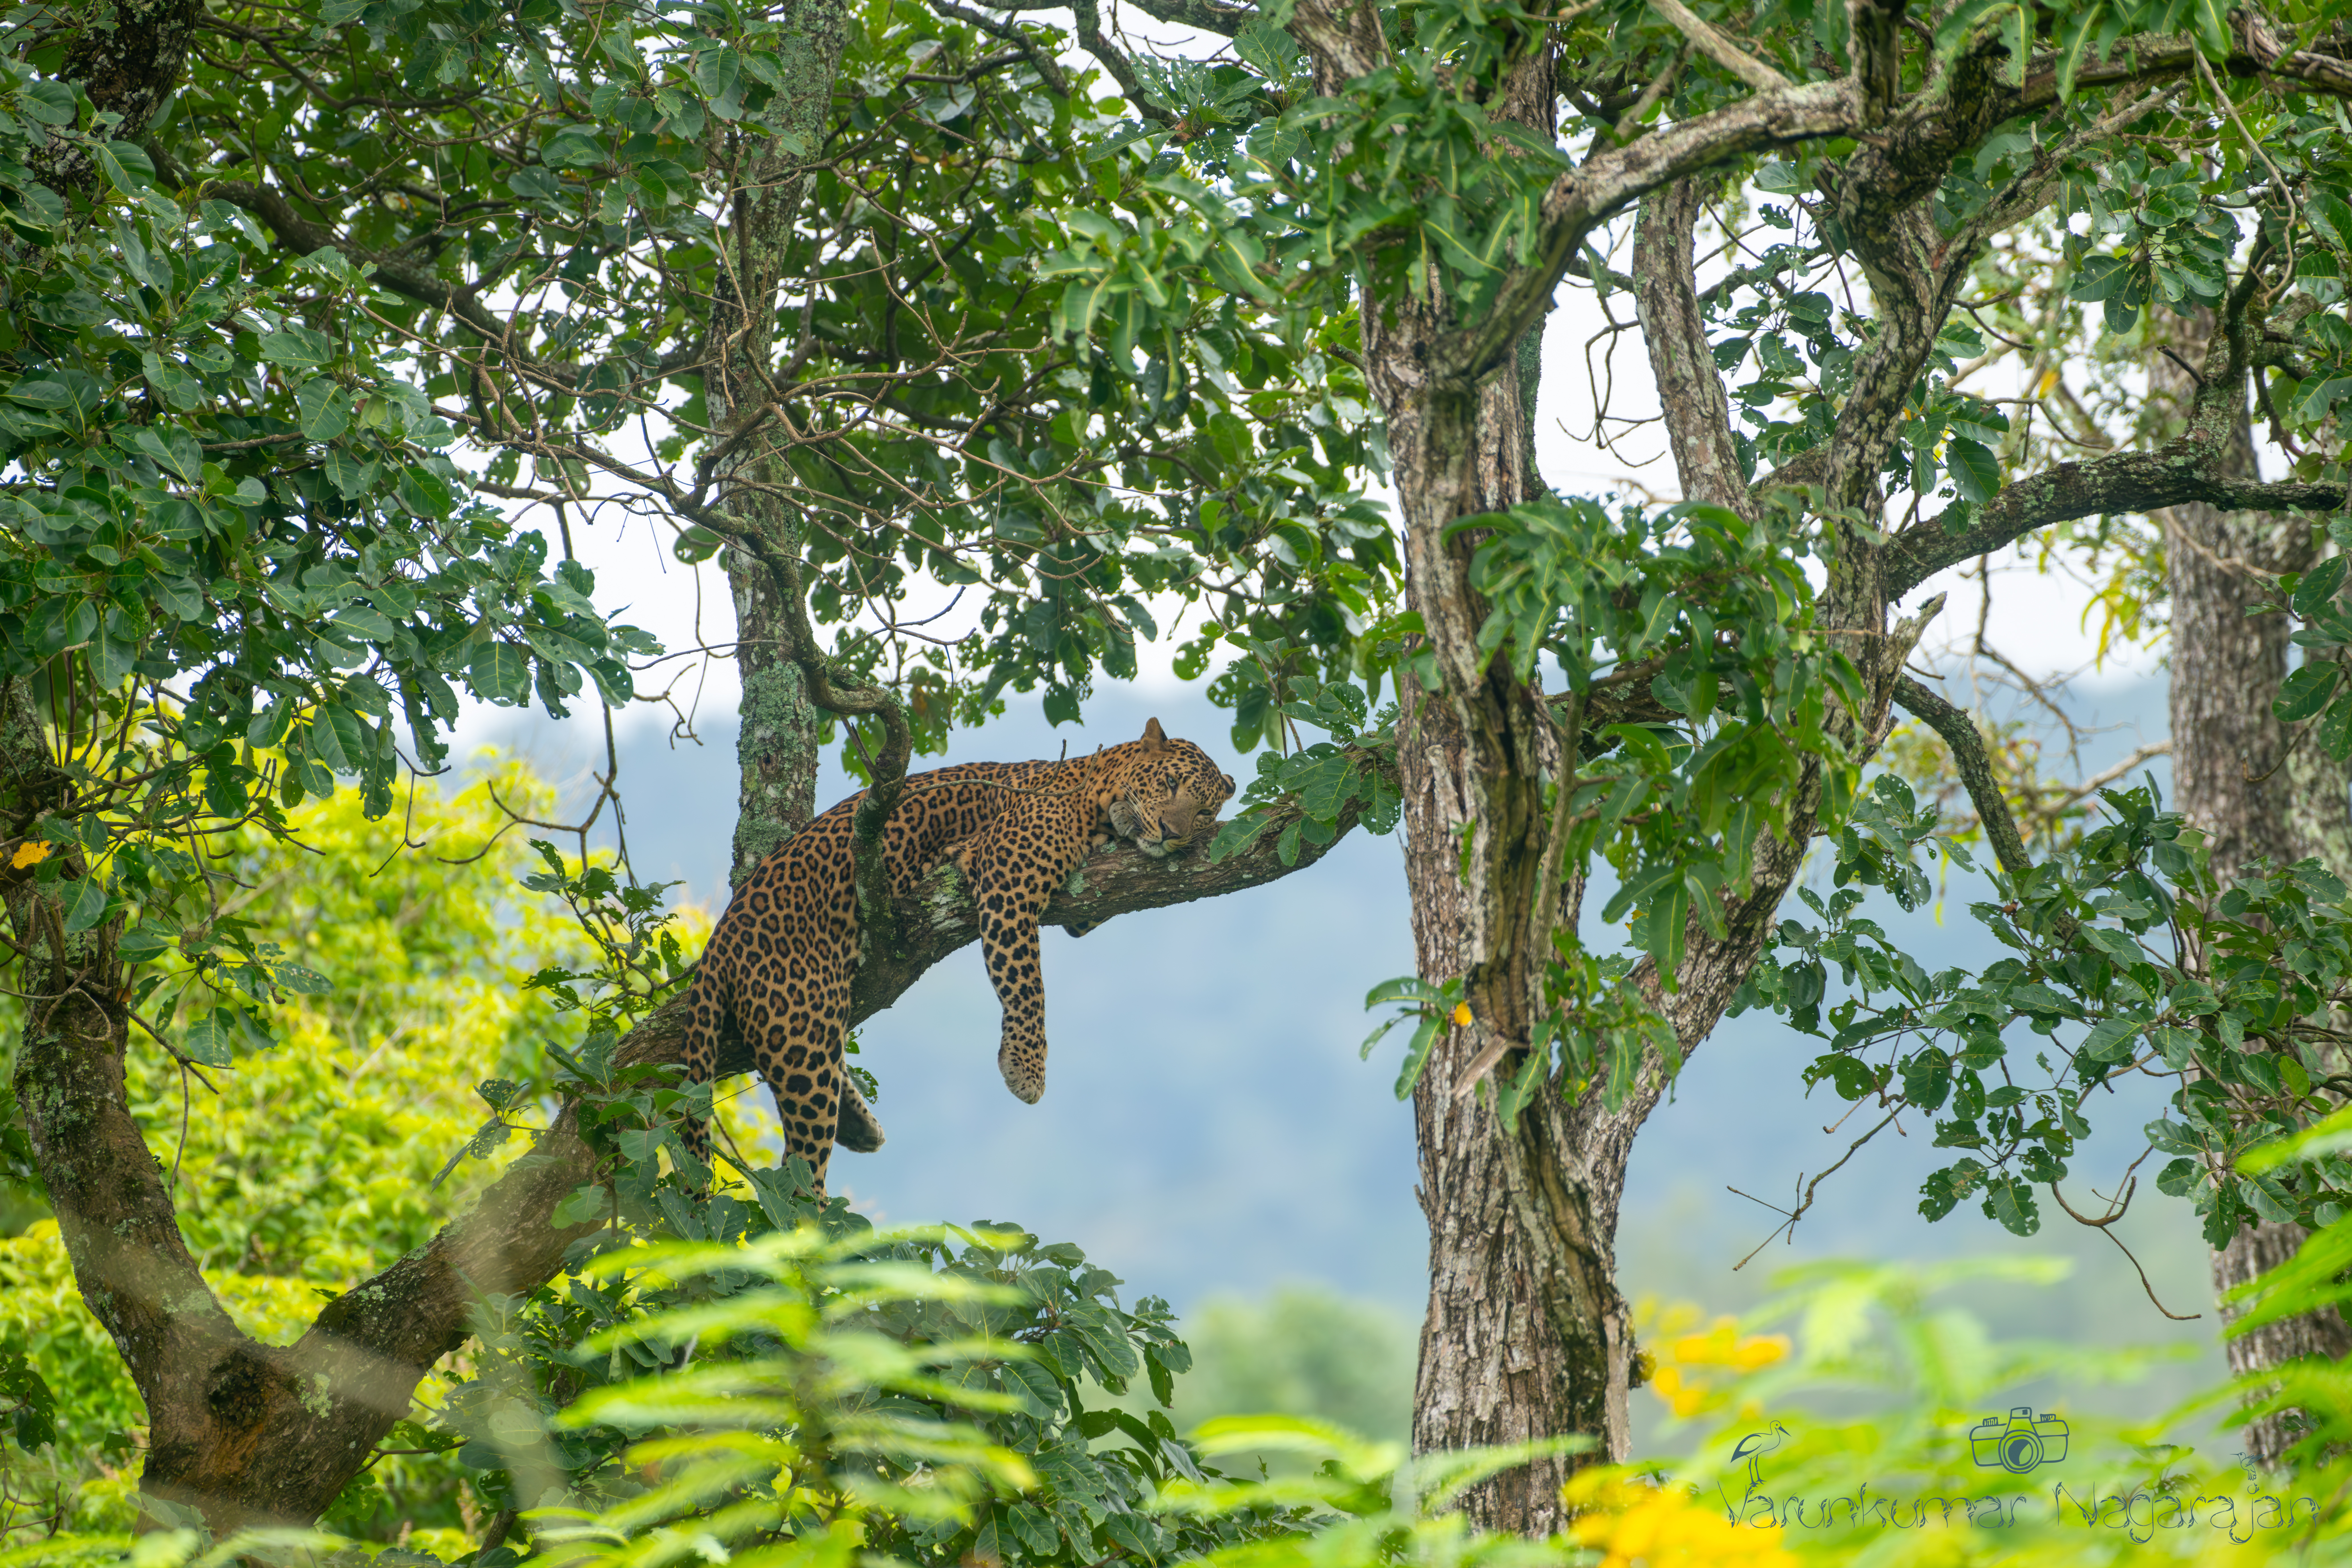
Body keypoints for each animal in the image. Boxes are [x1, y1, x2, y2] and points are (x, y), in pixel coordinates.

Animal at [680, 718, 1236, 1190]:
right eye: (1169, 783)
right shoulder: (1007, 875)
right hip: (800, 1027)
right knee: (801, 1166)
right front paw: (1027, 1069)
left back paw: (858, 1125)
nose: (1174, 833)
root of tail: (720, 938)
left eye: (1206, 812)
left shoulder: (1086, 901)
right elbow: (1026, 984)